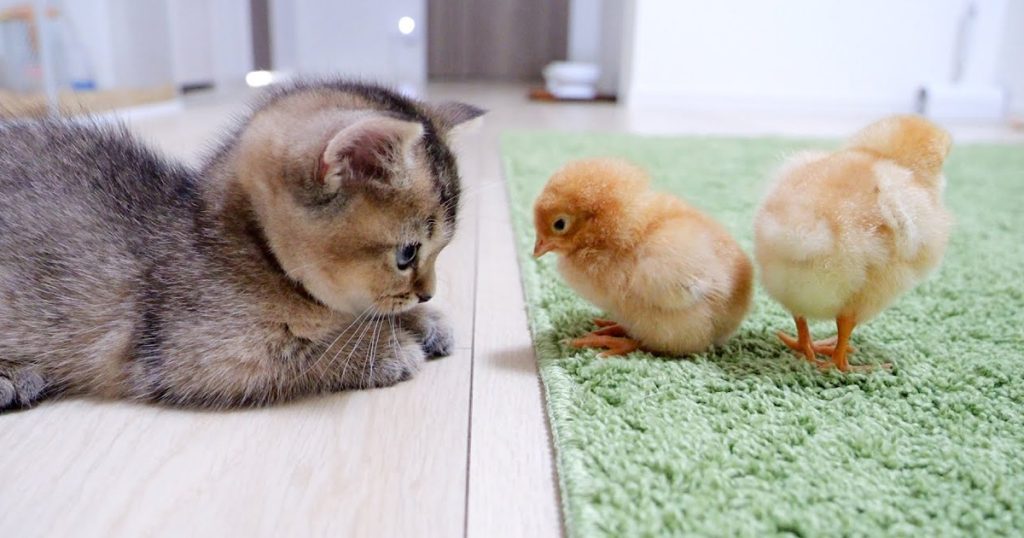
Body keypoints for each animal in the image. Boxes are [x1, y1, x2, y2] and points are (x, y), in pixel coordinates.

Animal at [0, 79, 483, 409]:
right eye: (407, 254)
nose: (428, 292)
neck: (251, 251)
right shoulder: (203, 355)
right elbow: (307, 350)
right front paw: (382, 348)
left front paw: (421, 320)